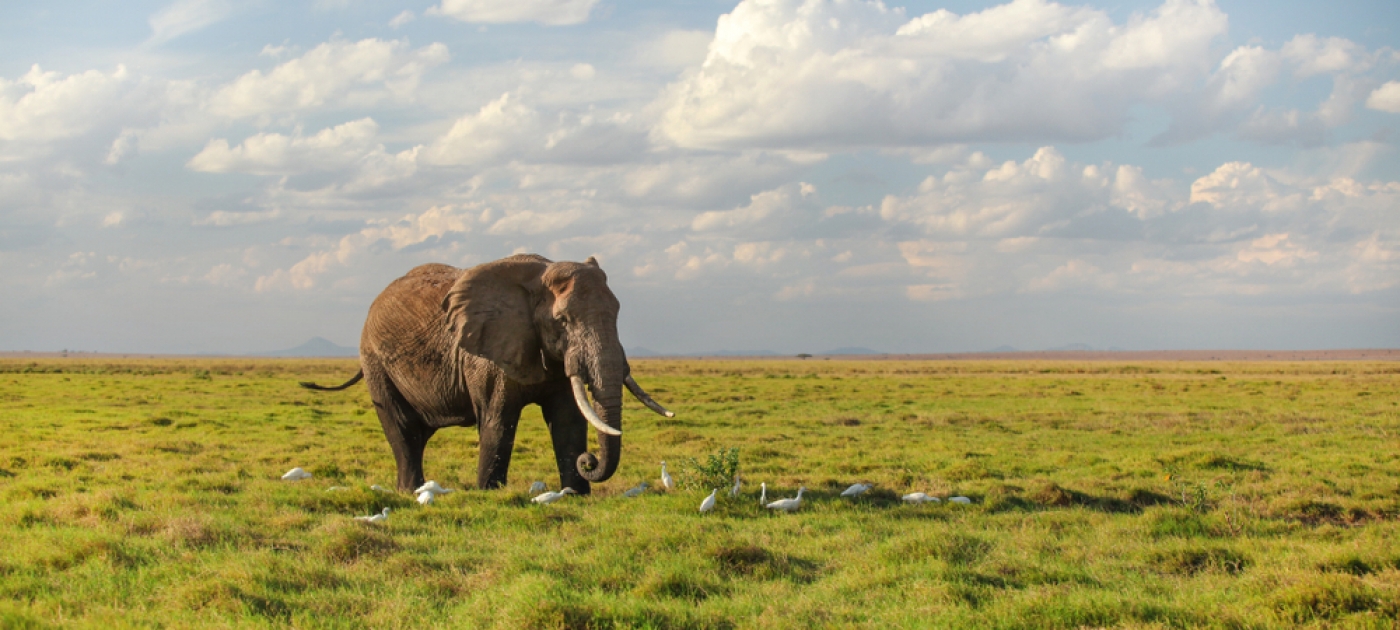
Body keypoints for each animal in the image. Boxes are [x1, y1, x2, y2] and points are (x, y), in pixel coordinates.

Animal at [300, 254, 673, 494]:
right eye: (562, 321)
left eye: (617, 313)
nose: (590, 461)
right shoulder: (488, 354)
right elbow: (498, 419)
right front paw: (489, 495)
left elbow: (568, 419)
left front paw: (575, 495)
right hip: (375, 362)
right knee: (402, 430)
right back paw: (409, 493)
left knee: (418, 433)